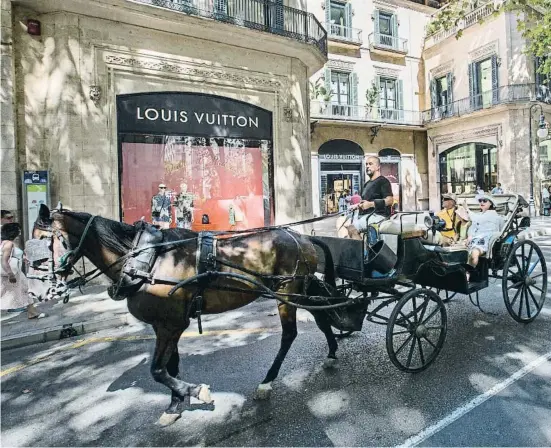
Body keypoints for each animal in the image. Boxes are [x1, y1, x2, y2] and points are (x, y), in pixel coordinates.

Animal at [31, 203, 362, 428]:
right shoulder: (168, 323)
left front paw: (196, 393)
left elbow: (158, 370)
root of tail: (302, 237)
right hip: (300, 291)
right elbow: (171, 365)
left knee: (290, 334)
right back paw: (332, 352)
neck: (146, 260)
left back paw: (267, 382)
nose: (41, 290)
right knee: (322, 317)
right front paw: (176, 404)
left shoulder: (171, 323)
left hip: (288, 292)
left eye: (45, 241)